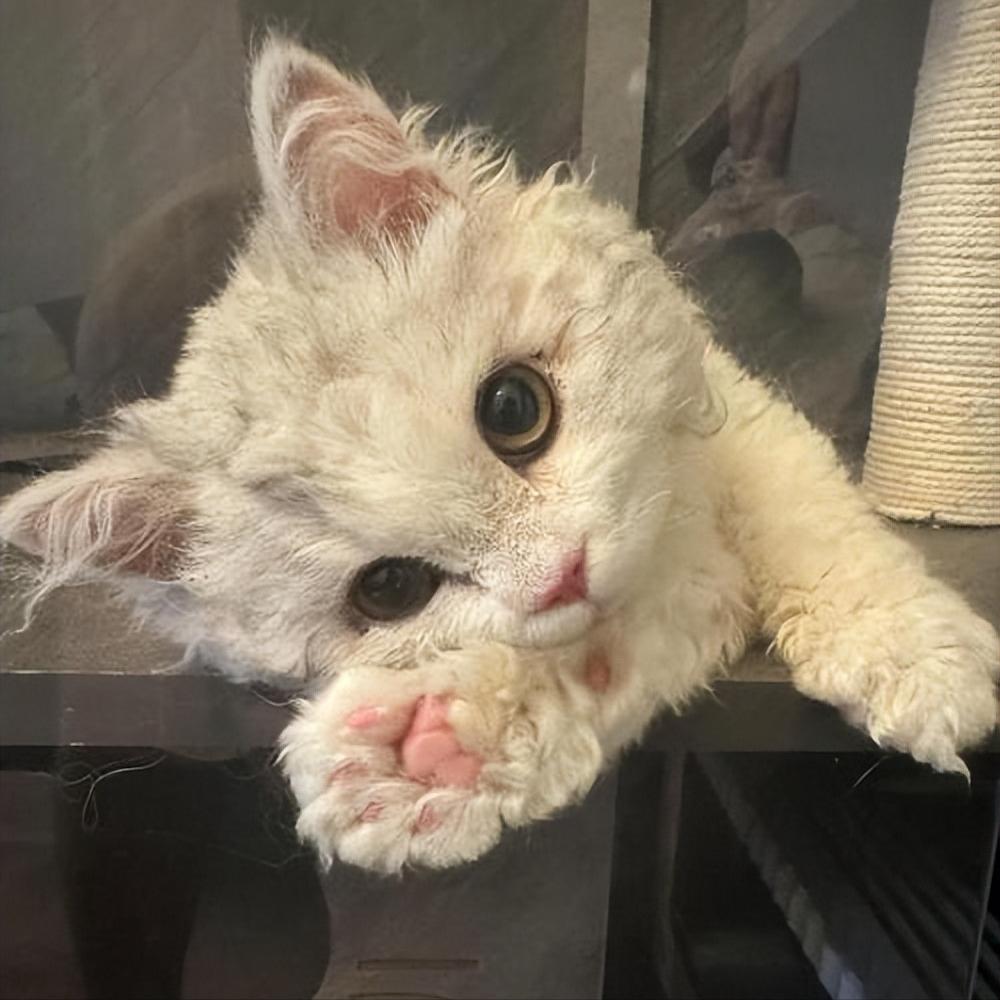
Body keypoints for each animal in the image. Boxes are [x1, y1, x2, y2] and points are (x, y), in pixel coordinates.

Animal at [2, 37, 996, 874]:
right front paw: (430, 754)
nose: (562, 574)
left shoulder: (736, 417)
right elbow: (593, 656)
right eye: (391, 589)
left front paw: (916, 659)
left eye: (514, 408)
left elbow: (811, 520)